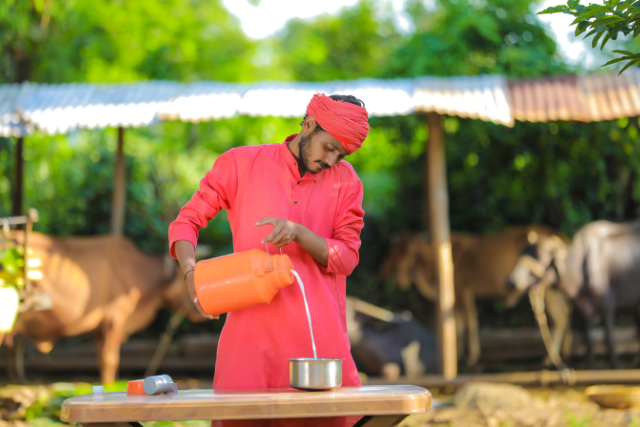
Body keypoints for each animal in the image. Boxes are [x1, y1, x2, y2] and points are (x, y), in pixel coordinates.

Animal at [0, 232, 200, 386]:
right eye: (185, 276)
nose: (197, 311)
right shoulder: (115, 318)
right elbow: (110, 359)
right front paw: (110, 386)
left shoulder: (98, 325)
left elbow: (100, 359)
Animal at [380, 227, 564, 368]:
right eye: (396, 252)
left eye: (411, 253)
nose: (400, 280)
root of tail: (556, 235)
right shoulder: (456, 297)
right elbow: (458, 325)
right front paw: (459, 355)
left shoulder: (463, 291)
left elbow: (469, 322)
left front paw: (471, 357)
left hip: (548, 288)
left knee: (560, 319)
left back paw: (550, 359)